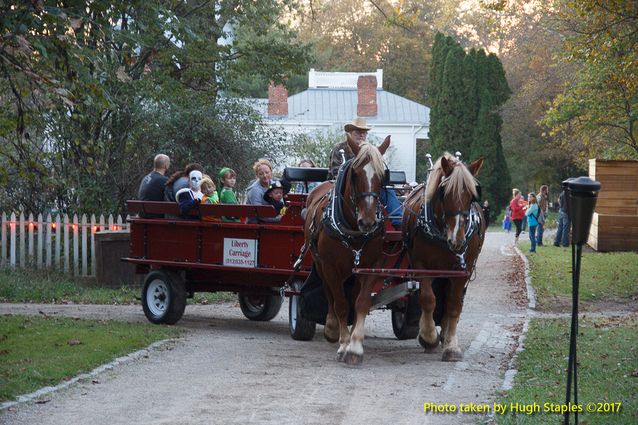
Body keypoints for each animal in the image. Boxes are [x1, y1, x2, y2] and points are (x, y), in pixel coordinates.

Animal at [304, 133, 390, 364]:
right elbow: (340, 304)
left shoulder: (371, 265)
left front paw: (355, 345)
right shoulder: (330, 266)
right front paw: (343, 344)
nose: (367, 221)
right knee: (330, 295)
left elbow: (361, 302)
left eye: (383, 176)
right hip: (320, 265)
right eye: (355, 173)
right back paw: (332, 328)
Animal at [402, 152, 488, 362]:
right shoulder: (421, 265)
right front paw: (428, 336)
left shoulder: (463, 270)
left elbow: (454, 304)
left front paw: (451, 345)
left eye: (472, 195)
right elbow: (428, 299)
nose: (457, 238)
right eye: (443, 192)